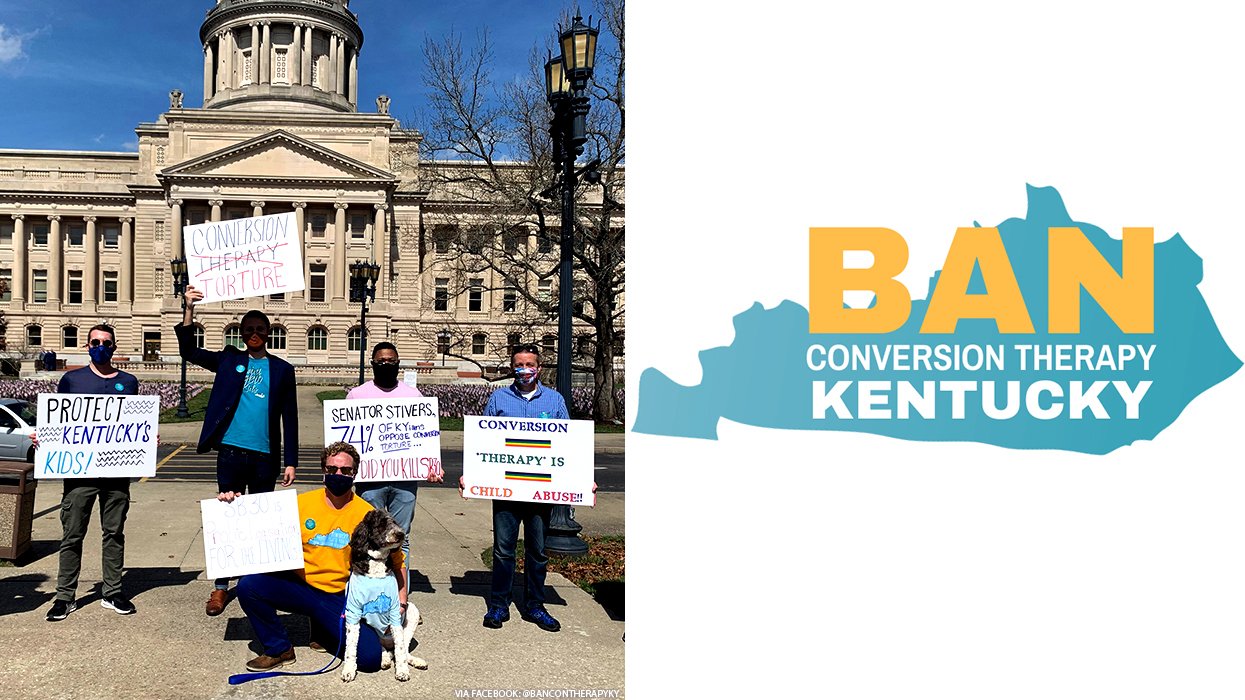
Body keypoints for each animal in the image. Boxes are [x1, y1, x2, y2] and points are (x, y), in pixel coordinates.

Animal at [341, 505, 428, 682]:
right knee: (385, 649)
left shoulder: (395, 612)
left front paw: (402, 671)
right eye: (381, 524)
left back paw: (414, 661)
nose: (401, 533)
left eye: (395, 522)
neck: (377, 563)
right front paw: (349, 670)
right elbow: (350, 647)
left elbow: (400, 648)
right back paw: (385, 659)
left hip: (412, 612)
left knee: (401, 648)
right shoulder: (353, 613)